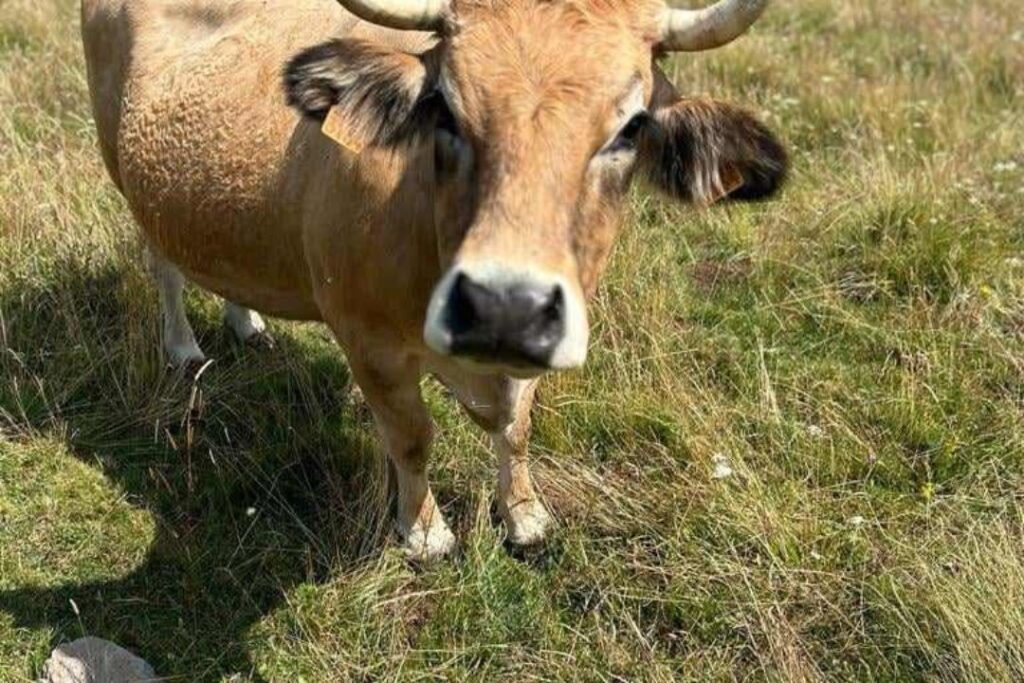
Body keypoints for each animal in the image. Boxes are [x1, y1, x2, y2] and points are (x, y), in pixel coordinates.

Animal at [83, 0, 786, 557]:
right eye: (443, 108)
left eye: (633, 126)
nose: (505, 307)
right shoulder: (367, 341)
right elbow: (412, 436)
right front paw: (424, 532)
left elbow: (516, 428)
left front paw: (525, 515)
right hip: (128, 178)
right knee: (164, 266)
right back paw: (182, 348)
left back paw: (247, 322)